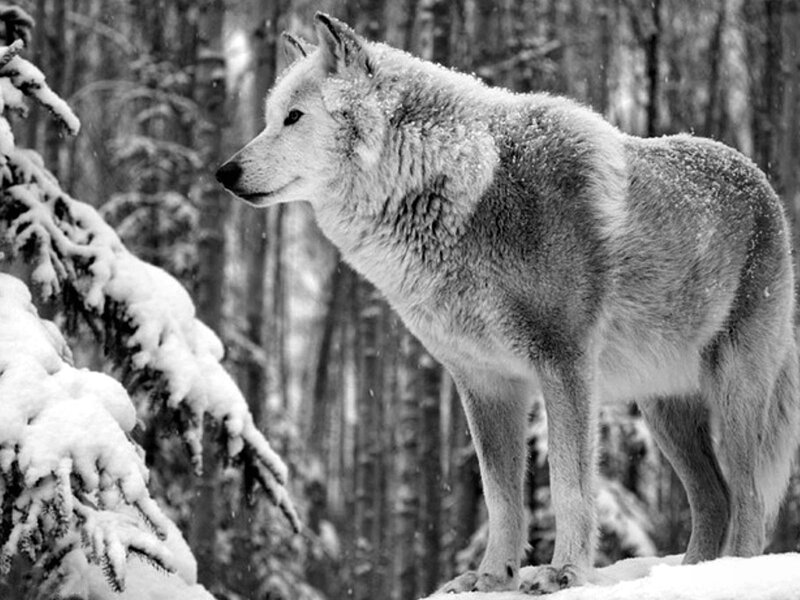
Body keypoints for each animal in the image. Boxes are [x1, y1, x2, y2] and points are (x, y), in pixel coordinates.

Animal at [216, 13, 800, 595]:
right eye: (268, 119)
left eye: (293, 117)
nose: (224, 172)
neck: (459, 189)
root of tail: (762, 182)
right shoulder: (484, 381)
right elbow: (500, 496)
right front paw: (492, 575)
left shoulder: (564, 363)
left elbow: (567, 484)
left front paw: (565, 571)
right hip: (663, 410)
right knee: (714, 498)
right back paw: (693, 574)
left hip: (734, 394)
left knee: (747, 497)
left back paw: (732, 573)